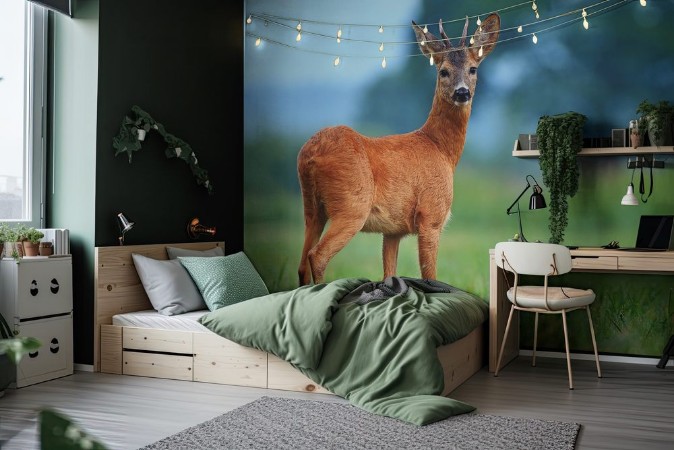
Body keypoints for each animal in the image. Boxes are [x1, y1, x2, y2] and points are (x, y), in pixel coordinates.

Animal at [297, 13, 500, 286]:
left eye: (473, 69)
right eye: (443, 71)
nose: (462, 92)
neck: (440, 149)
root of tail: (311, 153)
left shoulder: (393, 230)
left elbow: (389, 273)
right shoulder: (431, 215)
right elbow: (430, 275)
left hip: (312, 208)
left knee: (301, 263)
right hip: (351, 206)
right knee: (317, 255)